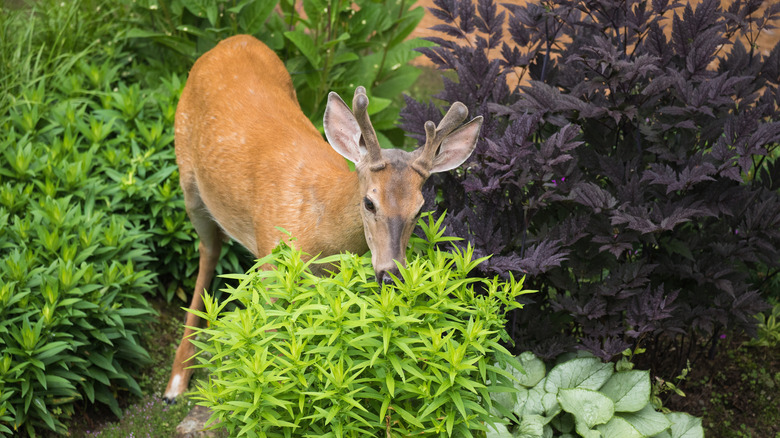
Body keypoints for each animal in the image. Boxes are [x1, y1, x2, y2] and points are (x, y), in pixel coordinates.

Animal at [163, 36, 482, 402]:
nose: (391, 274)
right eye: (369, 202)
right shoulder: (272, 264)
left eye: (419, 208)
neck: (318, 227)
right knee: (209, 249)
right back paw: (176, 380)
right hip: (188, 176)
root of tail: (234, 40)